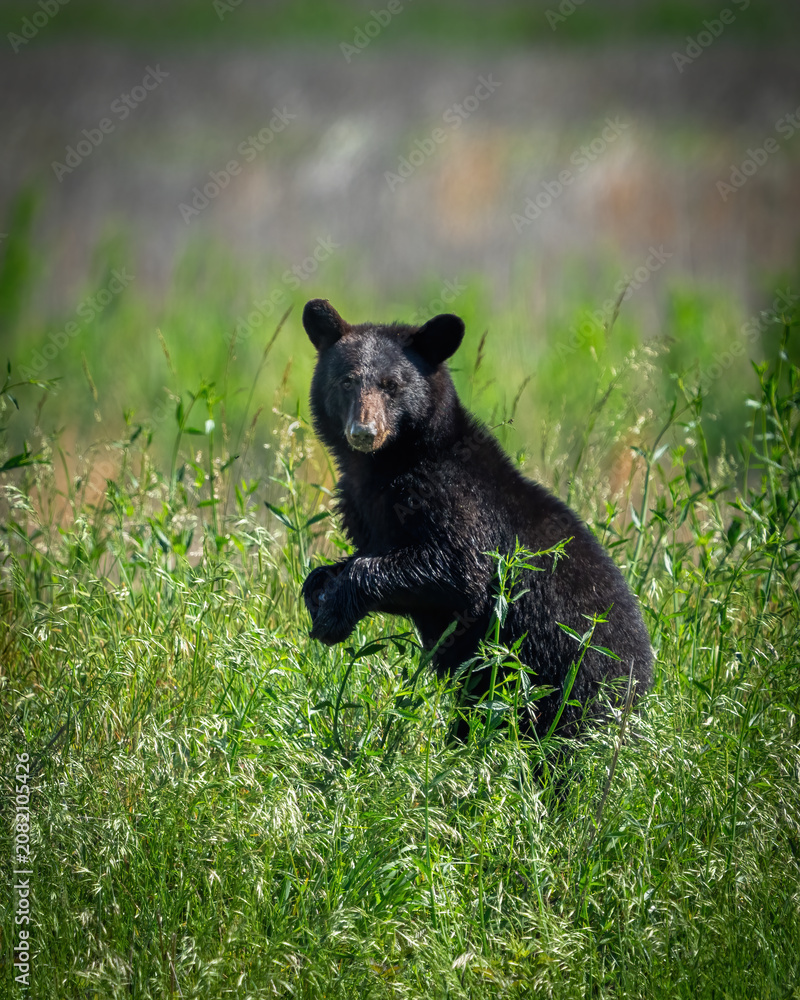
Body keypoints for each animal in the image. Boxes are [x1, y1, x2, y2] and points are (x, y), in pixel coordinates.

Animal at [300, 298, 652, 739]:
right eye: (346, 382)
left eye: (392, 384)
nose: (364, 431)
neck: (389, 466)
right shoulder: (365, 513)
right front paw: (320, 589)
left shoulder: (455, 501)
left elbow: (457, 570)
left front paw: (335, 609)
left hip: (568, 682)